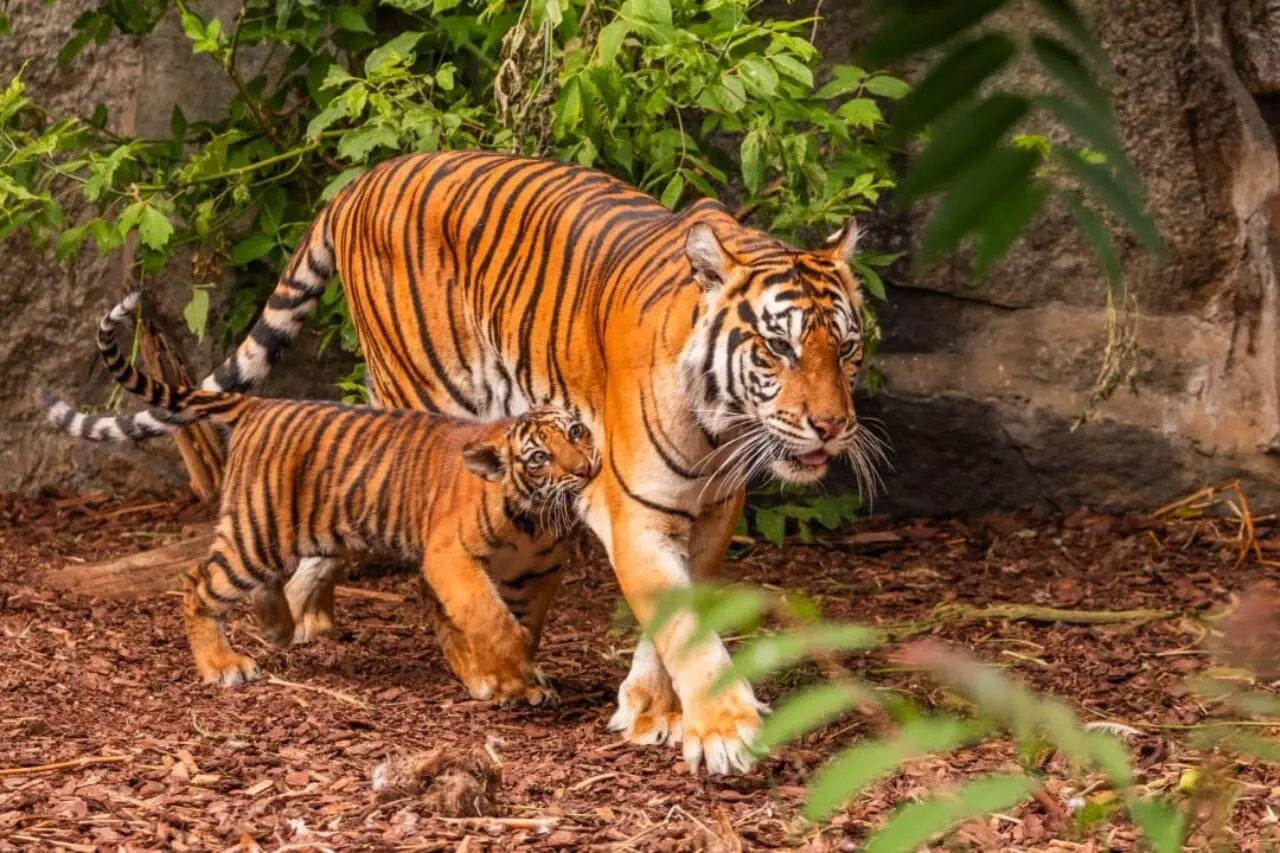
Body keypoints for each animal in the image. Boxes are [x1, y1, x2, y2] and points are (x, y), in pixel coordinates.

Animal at [45, 291, 599, 703]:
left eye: (576, 432)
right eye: (538, 458)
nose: (586, 469)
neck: (535, 519)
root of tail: (258, 406)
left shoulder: (541, 571)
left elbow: (524, 624)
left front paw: (522, 678)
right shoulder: (451, 558)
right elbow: (490, 618)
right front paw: (509, 675)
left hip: (298, 533)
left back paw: (276, 629)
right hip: (258, 533)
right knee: (199, 582)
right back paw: (222, 665)